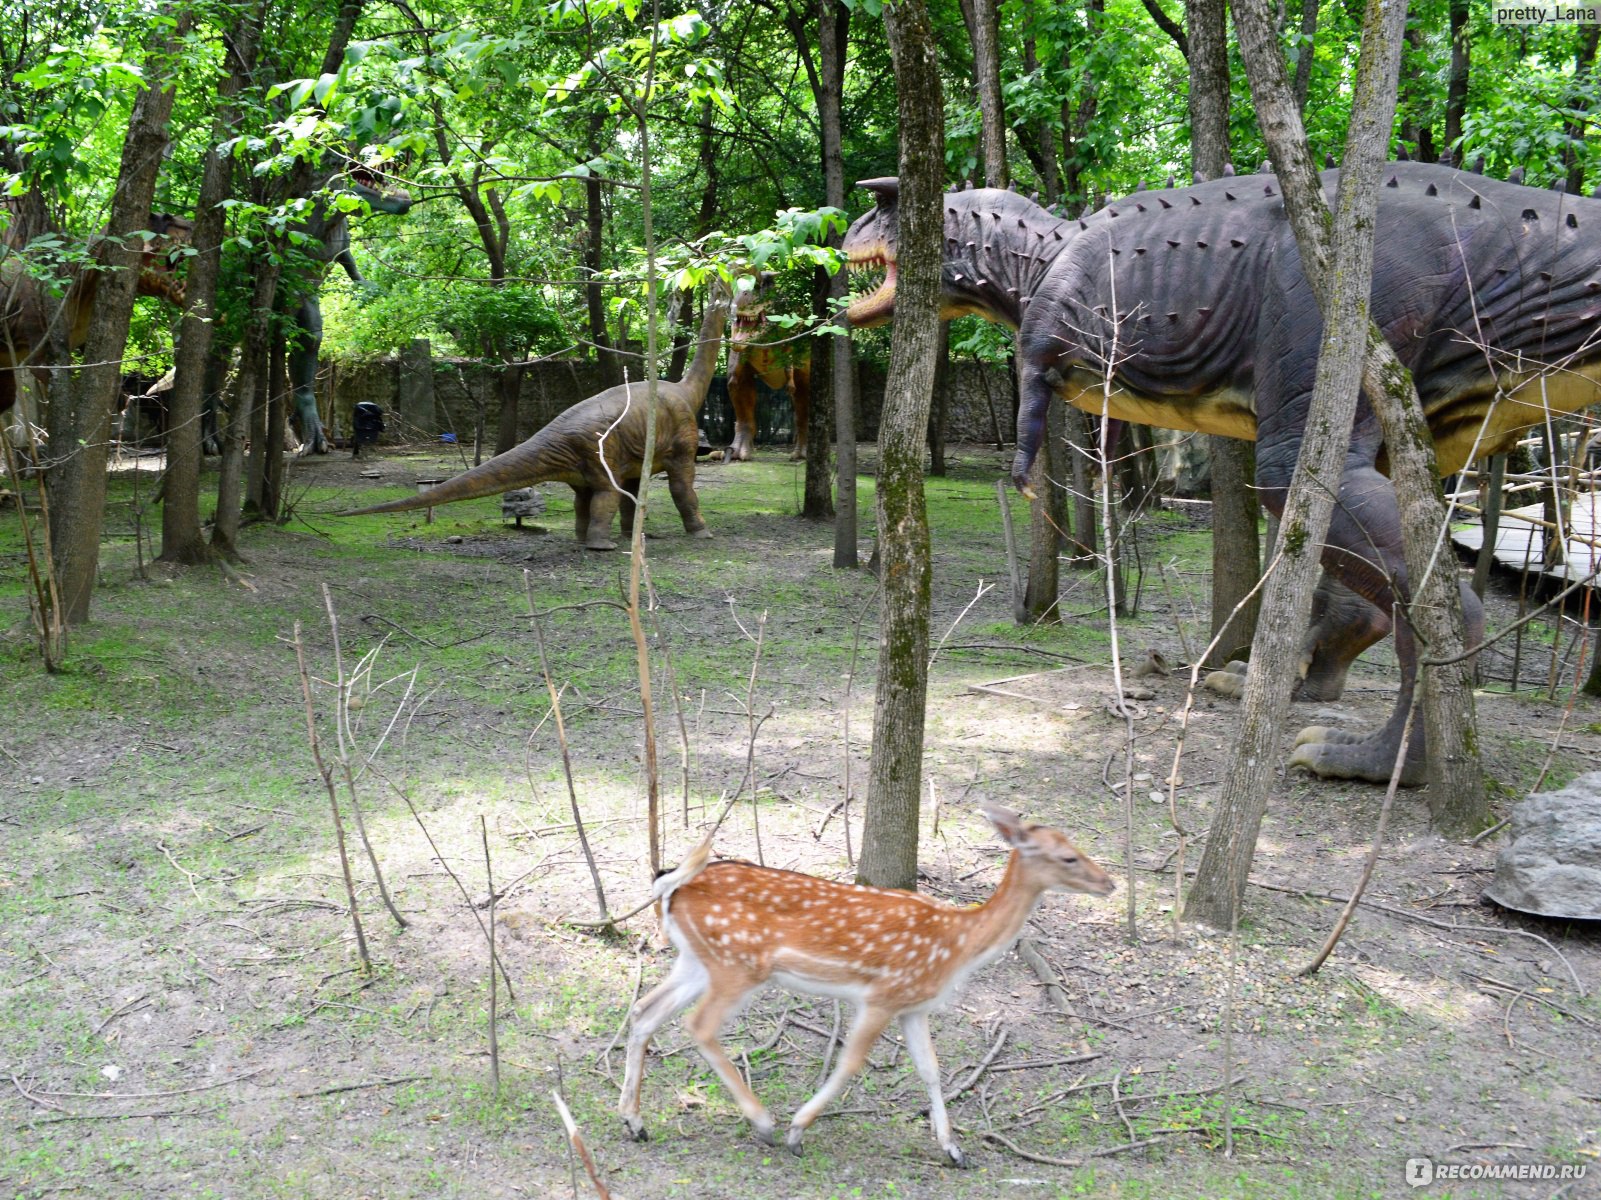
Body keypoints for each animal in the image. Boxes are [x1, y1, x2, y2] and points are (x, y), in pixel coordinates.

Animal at [617, 809, 1120, 1164]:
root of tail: (672, 887)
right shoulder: (883, 995)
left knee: (644, 1010)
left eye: (1075, 846)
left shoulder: (914, 1005)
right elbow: (850, 1062)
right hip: (737, 965)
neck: (958, 945)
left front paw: (953, 1150)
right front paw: (798, 1131)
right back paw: (764, 1123)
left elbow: (931, 1069)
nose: (1110, 882)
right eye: (1068, 856)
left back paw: (634, 1122)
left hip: (697, 960)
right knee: (698, 1026)